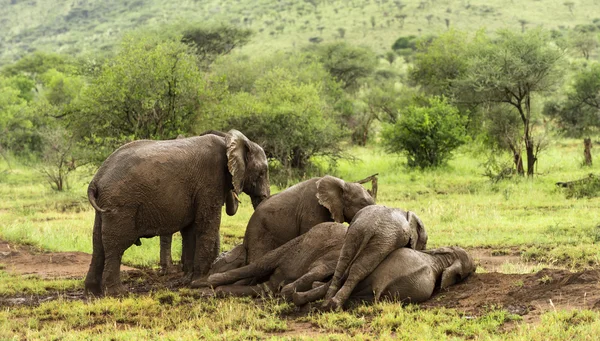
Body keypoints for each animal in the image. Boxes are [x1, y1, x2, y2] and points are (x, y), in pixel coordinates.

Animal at [84, 129, 270, 294]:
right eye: (262, 173)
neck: (228, 140)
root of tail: (96, 179)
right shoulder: (210, 181)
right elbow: (206, 225)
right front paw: (199, 281)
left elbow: (190, 231)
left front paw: (187, 281)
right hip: (121, 203)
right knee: (116, 245)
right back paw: (117, 293)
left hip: (105, 203)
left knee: (98, 243)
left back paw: (93, 292)